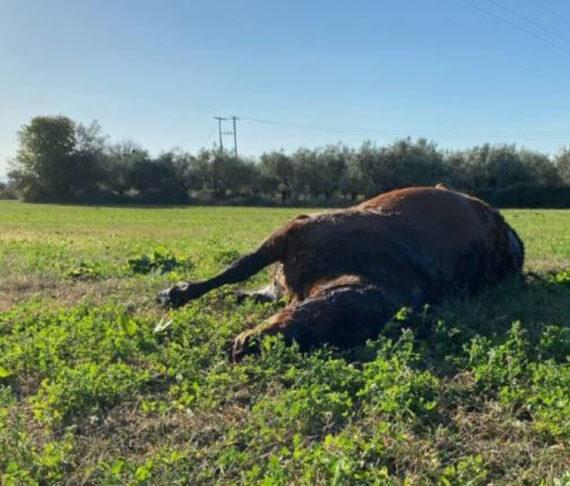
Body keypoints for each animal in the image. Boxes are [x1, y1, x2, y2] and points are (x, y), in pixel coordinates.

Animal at [158, 186, 520, 360]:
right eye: (315, 313)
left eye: (325, 337)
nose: (244, 349)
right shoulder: (293, 229)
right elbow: (239, 266)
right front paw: (176, 293)